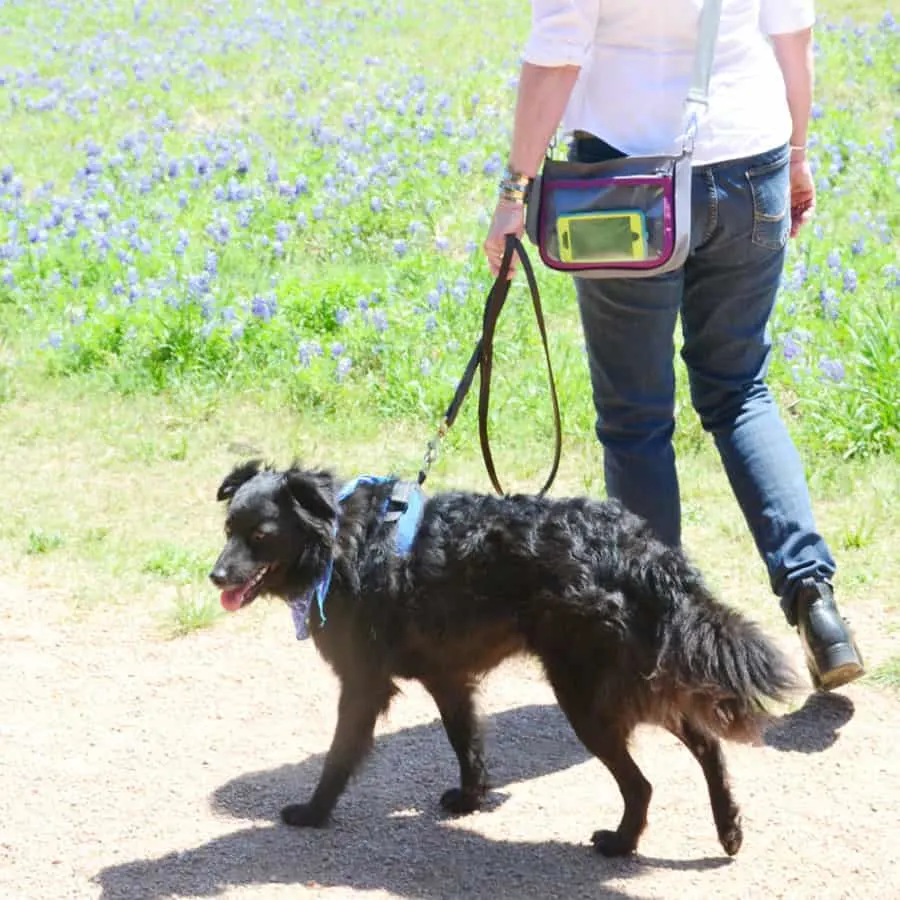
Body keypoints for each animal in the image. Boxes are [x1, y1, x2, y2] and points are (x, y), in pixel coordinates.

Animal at [209, 464, 796, 856]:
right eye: (228, 530)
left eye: (260, 536)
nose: (214, 576)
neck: (341, 541)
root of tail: (647, 556)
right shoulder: (448, 678)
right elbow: (465, 742)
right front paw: (472, 798)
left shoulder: (363, 684)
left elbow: (337, 757)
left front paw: (313, 813)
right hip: (633, 678)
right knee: (706, 742)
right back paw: (728, 828)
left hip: (588, 696)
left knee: (643, 783)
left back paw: (621, 842)